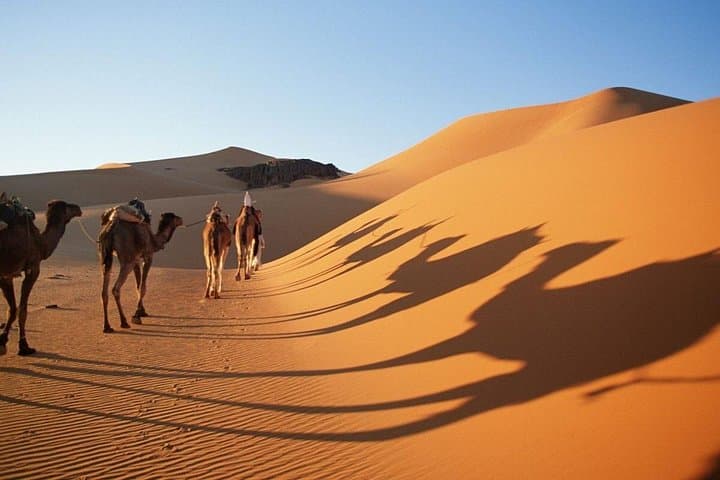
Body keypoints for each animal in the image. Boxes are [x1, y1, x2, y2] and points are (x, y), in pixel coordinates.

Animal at [0, 197, 82, 355]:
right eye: (67, 205)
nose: (78, 208)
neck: (40, 243)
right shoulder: (32, 268)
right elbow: (21, 310)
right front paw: (23, 346)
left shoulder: (7, 275)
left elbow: (12, 309)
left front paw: (5, 341)